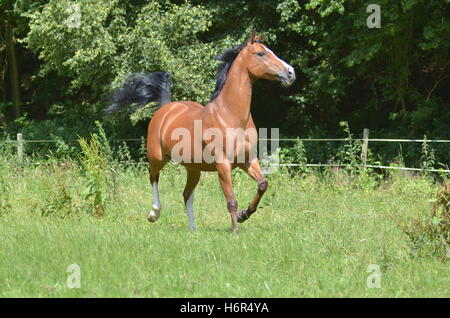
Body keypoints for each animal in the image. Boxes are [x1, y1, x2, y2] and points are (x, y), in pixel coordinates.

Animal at [105, 31, 296, 231]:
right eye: (261, 53)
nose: (291, 72)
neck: (231, 115)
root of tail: (166, 107)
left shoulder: (247, 160)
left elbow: (263, 184)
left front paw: (244, 214)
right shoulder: (223, 164)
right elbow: (231, 200)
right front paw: (235, 229)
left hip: (193, 168)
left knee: (186, 194)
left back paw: (193, 230)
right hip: (158, 157)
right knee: (153, 177)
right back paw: (154, 213)